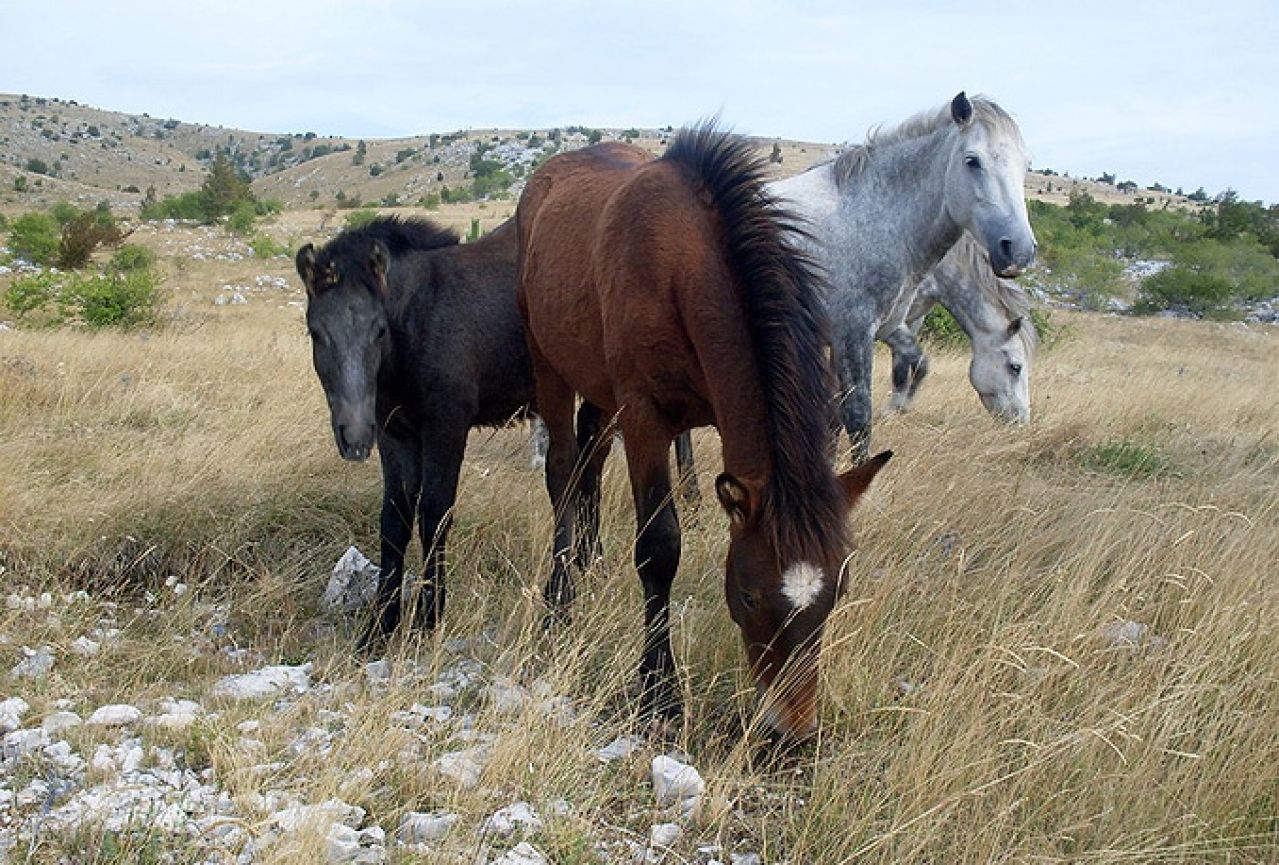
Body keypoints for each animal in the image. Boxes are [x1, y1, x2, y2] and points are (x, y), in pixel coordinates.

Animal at [295, 216, 534, 650]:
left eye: (379, 330)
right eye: (315, 332)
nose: (355, 437)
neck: (419, 321)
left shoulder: (446, 428)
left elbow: (434, 516)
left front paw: (429, 616)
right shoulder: (395, 434)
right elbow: (394, 520)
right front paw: (380, 627)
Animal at [509, 124, 890, 742]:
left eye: (838, 593)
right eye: (749, 595)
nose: (793, 734)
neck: (679, 265)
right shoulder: (645, 420)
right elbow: (659, 549)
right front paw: (659, 693)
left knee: (591, 454)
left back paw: (589, 558)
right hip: (550, 366)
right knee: (564, 469)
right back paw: (559, 600)